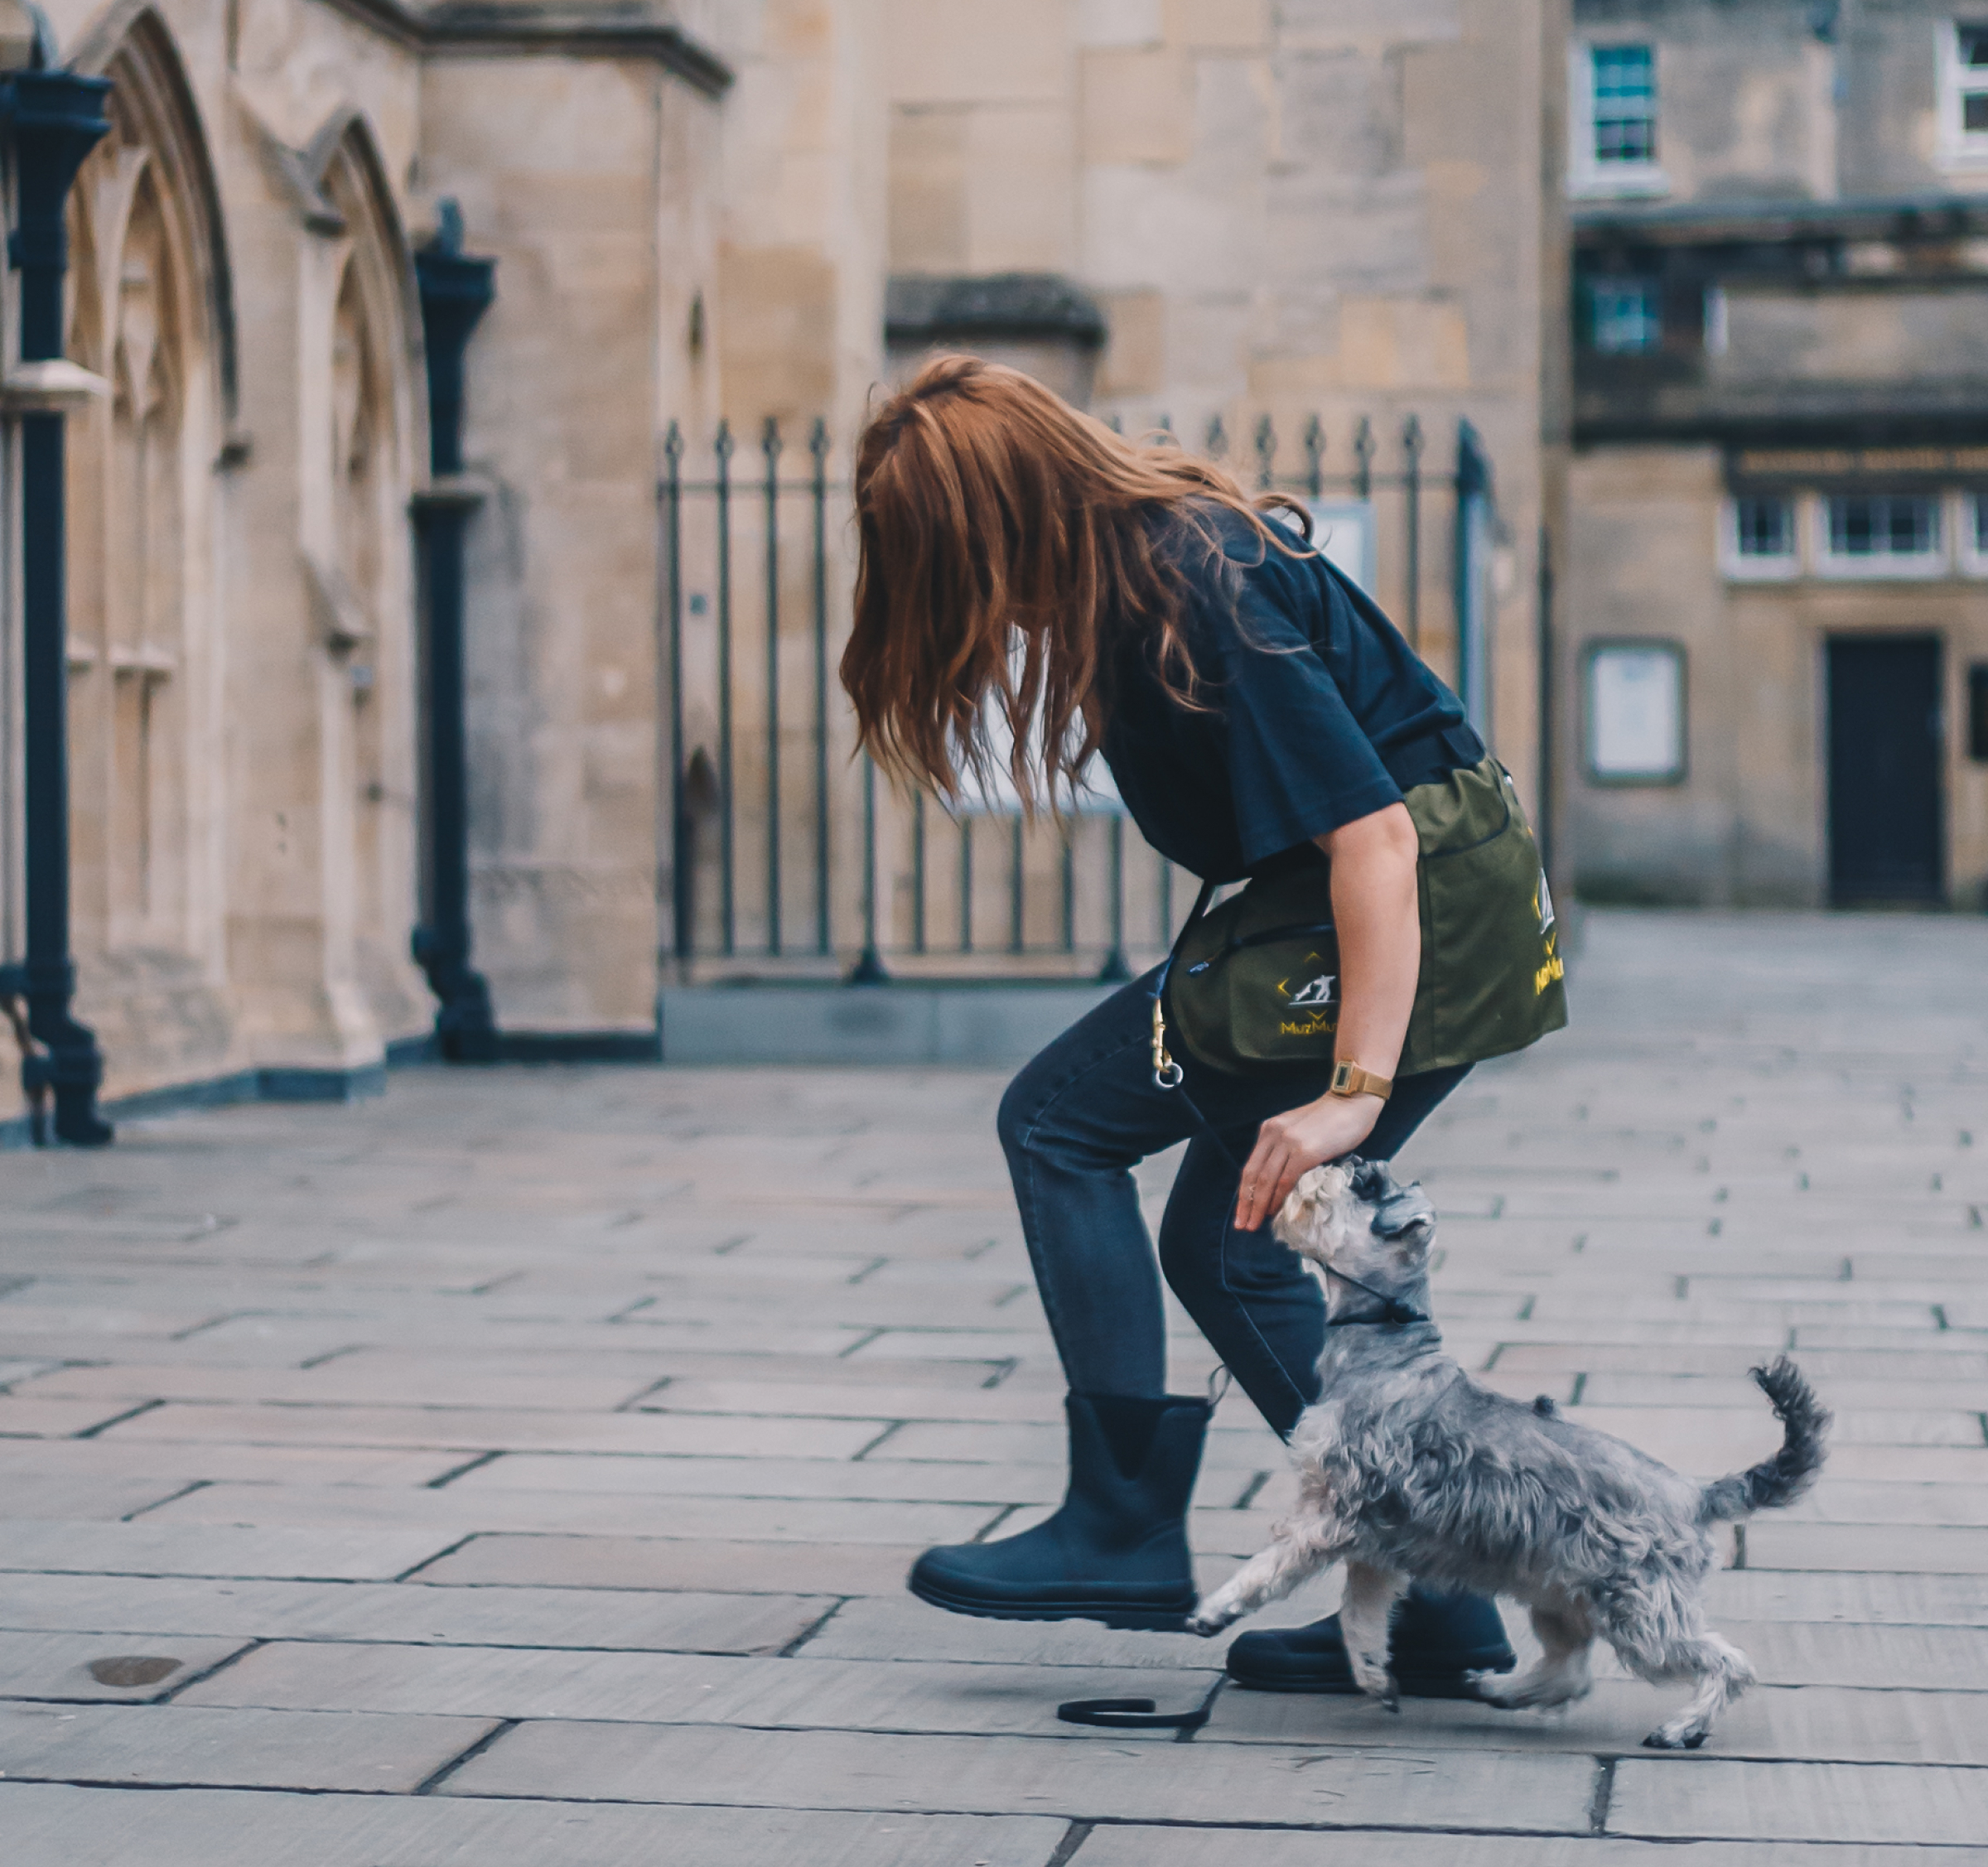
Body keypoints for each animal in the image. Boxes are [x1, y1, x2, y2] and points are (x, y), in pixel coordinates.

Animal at [1176, 1160, 1829, 1757]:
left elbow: (1272, 1566)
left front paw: (1215, 1609)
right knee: (1570, 1669)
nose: (1330, 1160)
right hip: (1560, 1595)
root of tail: (1696, 1495)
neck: (1386, 1349)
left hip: (1640, 1612)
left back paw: (1682, 1727)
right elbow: (1358, 1614)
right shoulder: (1371, 1545)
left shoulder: (1330, 1515)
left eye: (1365, 1182)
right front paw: (1372, 1674)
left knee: (1724, 1662)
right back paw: (1498, 1689)